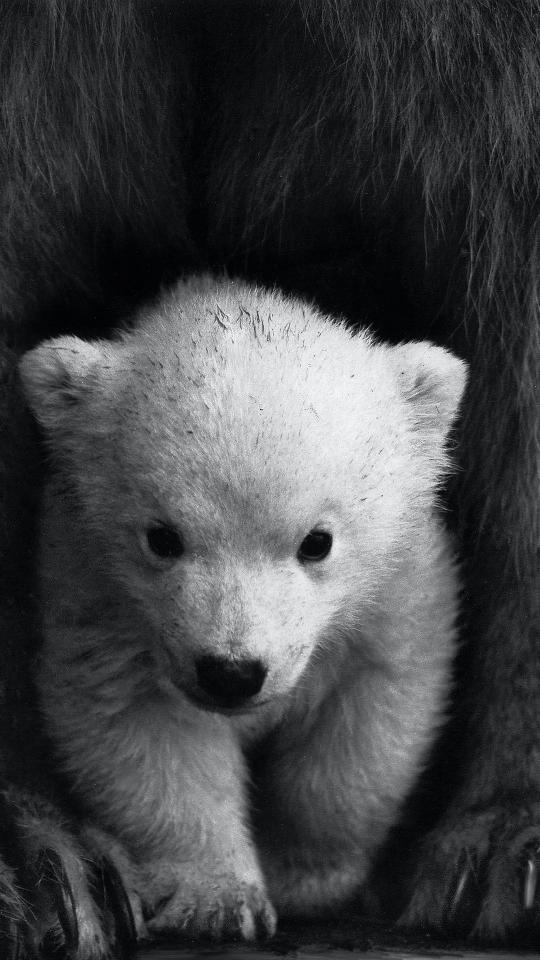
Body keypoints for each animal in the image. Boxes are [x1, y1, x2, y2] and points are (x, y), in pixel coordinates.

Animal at [17, 274, 466, 951]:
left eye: (317, 542)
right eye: (162, 537)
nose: (231, 673)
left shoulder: (397, 591)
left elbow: (366, 723)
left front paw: (304, 877)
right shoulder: (97, 594)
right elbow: (143, 726)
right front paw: (217, 899)